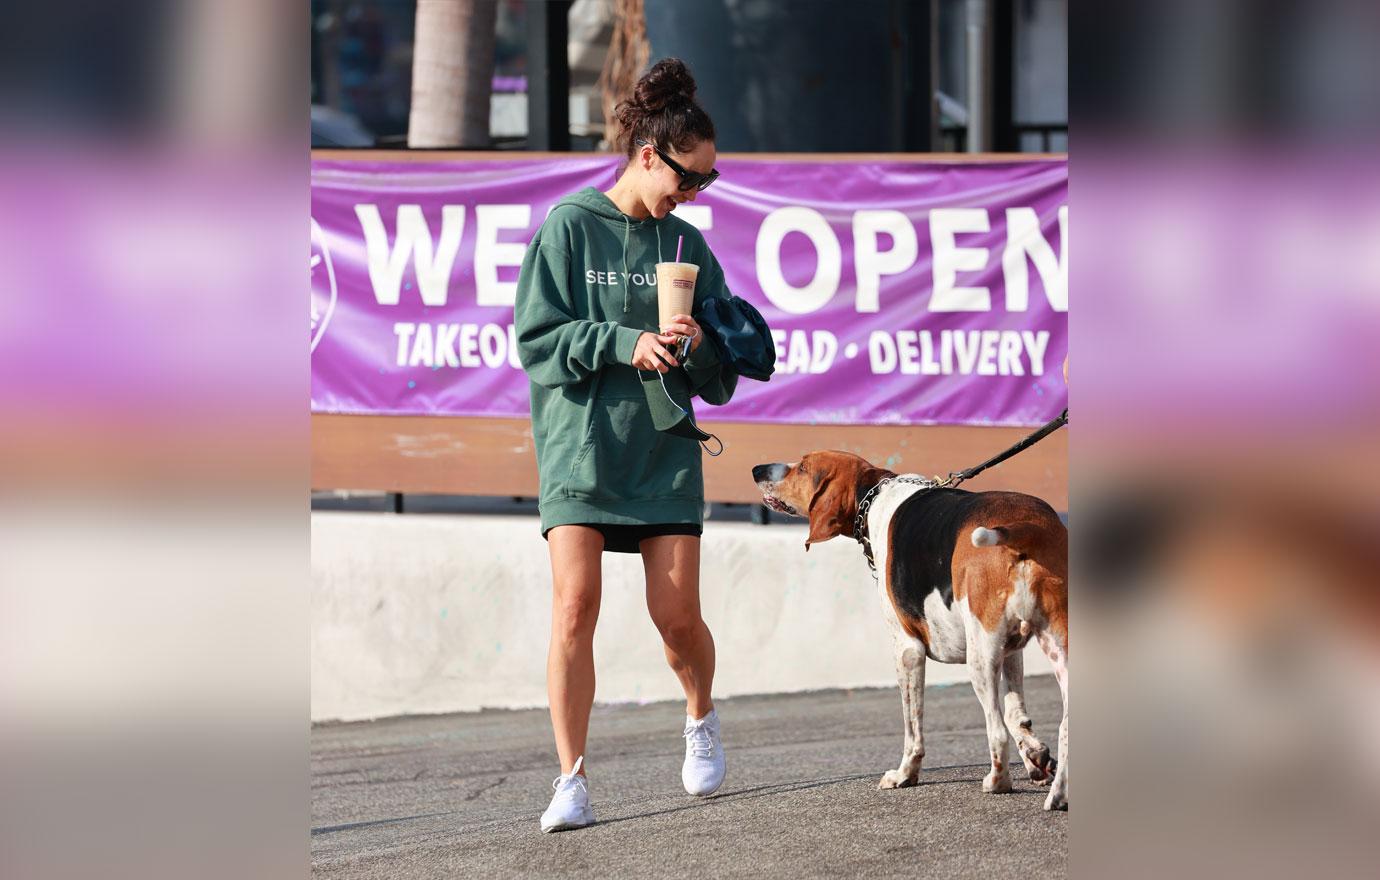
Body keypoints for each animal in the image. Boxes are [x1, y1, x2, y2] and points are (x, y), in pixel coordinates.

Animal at [756, 455, 1065, 816]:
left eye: (803, 467)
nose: (757, 470)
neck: (873, 495)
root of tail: (1024, 527)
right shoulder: (1012, 649)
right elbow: (1019, 715)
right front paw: (1035, 759)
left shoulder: (907, 651)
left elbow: (912, 728)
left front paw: (905, 775)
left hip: (980, 659)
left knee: (996, 730)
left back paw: (997, 782)